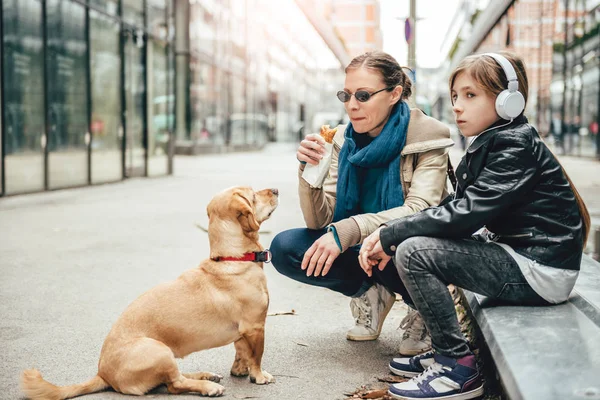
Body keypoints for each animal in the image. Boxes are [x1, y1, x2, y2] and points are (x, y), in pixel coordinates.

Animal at [20, 186, 278, 398]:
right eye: (253, 195)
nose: (275, 189)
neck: (232, 258)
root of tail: (103, 374)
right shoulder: (255, 327)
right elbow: (257, 355)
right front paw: (259, 376)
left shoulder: (244, 332)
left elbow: (241, 351)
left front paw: (241, 370)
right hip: (158, 350)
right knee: (174, 385)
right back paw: (207, 386)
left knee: (174, 379)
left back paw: (204, 375)